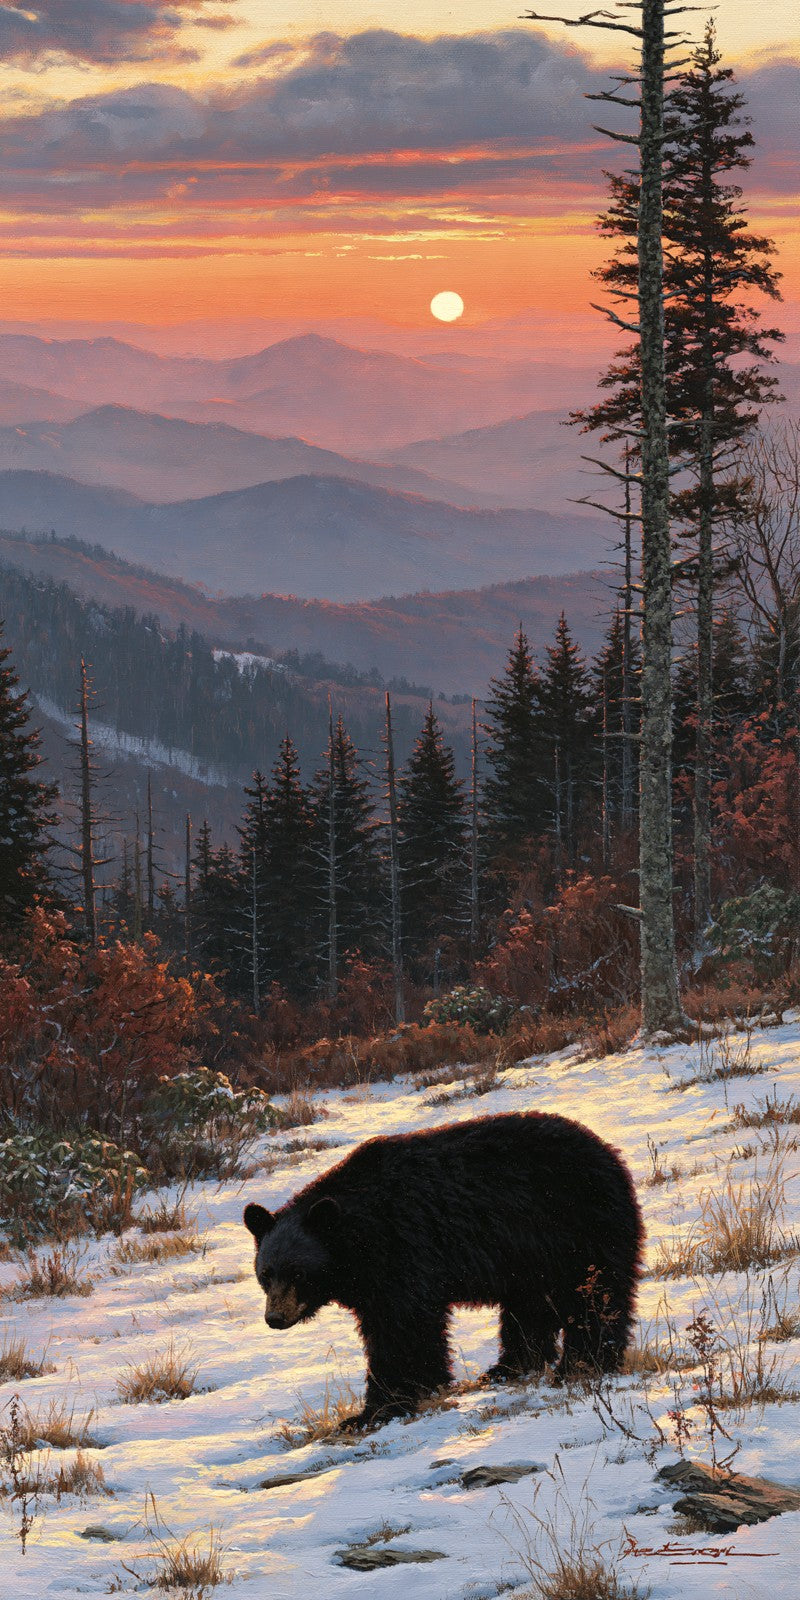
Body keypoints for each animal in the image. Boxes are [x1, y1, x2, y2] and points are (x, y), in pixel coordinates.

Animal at [243, 1110, 643, 1428]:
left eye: (297, 1273)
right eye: (266, 1275)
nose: (275, 1318)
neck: (360, 1236)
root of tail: (605, 1149)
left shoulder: (405, 1249)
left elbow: (403, 1330)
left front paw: (379, 1409)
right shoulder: (374, 1282)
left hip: (574, 1226)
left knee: (593, 1295)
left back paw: (581, 1363)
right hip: (530, 1258)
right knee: (530, 1309)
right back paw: (506, 1369)